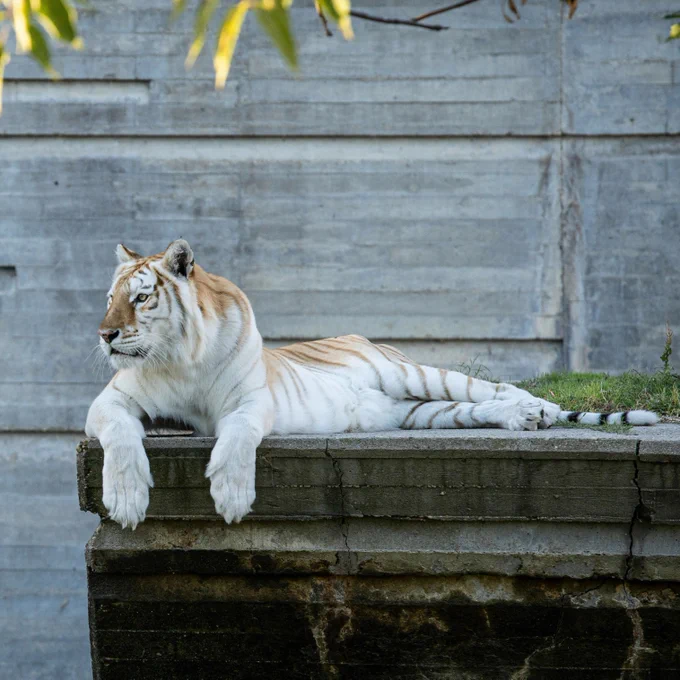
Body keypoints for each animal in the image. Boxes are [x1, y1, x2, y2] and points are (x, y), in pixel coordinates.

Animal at [86, 240, 658, 529]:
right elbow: (121, 438)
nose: (105, 334)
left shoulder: (250, 401)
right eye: (109, 299)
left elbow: (237, 437)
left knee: (496, 389)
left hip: (417, 374)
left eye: (140, 298)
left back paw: (540, 408)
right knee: (481, 408)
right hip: (419, 411)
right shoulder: (111, 403)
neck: (181, 359)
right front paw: (127, 499)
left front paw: (230, 495)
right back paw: (525, 419)